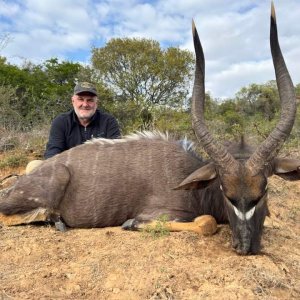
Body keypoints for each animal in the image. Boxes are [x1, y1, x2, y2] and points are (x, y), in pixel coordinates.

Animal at [0, 3, 298, 254]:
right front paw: (130, 224)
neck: (194, 184)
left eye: (264, 190)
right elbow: (206, 223)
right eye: (227, 192)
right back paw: (54, 219)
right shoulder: (160, 212)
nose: (246, 246)